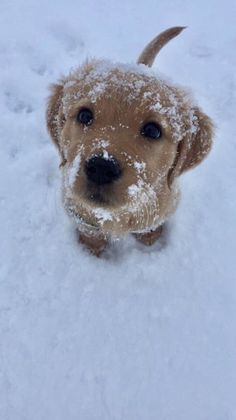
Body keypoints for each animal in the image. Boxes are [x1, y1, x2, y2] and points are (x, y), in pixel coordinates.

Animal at [46, 27, 214, 256]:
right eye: (84, 115)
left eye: (153, 130)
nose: (101, 167)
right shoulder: (78, 212)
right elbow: (91, 233)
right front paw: (92, 251)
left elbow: (150, 226)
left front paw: (150, 239)